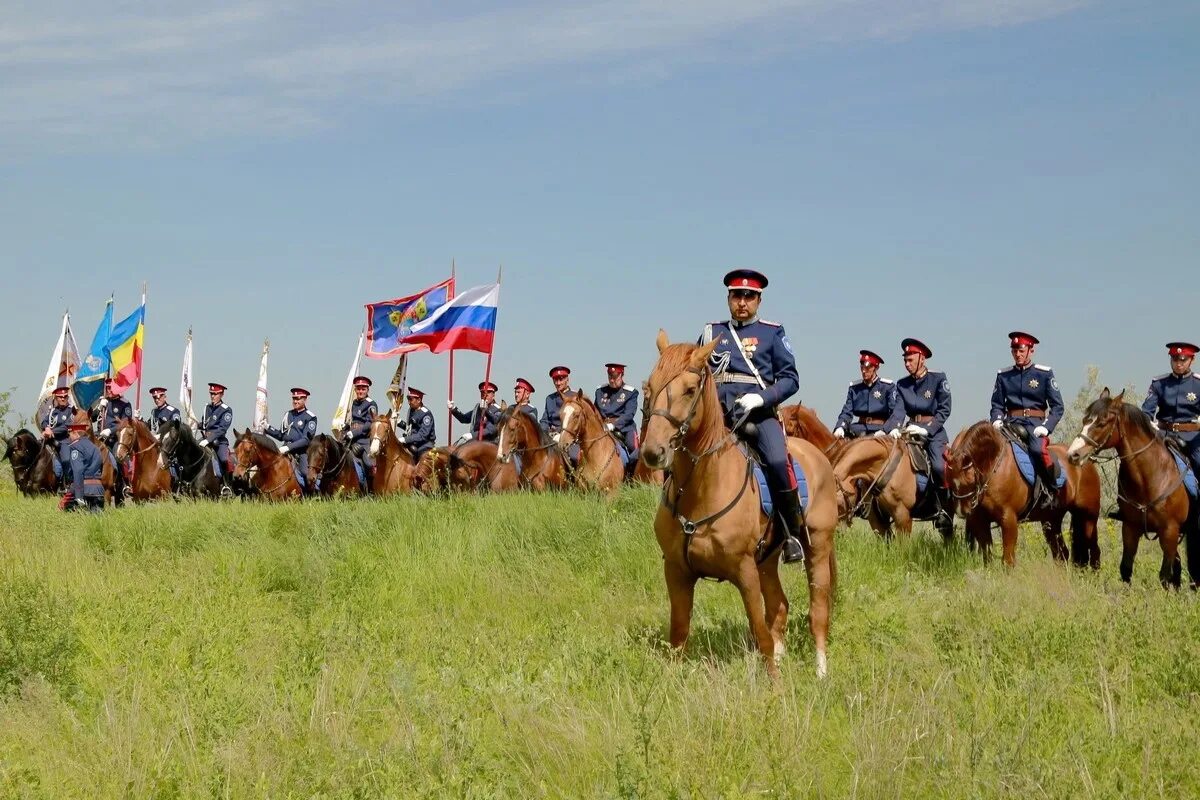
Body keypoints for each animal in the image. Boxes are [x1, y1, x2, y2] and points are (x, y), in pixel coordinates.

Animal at [643, 335, 840, 681]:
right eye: (649, 386)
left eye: (690, 389)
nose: (653, 452)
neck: (700, 490)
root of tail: (819, 457)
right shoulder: (677, 571)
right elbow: (678, 634)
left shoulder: (745, 571)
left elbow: (760, 633)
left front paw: (775, 687)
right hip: (768, 560)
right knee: (780, 607)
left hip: (817, 547)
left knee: (818, 610)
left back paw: (820, 671)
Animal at [945, 422, 1104, 566]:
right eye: (949, 480)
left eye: (969, 480)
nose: (961, 511)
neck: (995, 465)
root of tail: (1085, 460)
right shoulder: (980, 521)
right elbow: (987, 559)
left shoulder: (1008, 519)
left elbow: (1008, 561)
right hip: (1051, 520)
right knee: (1061, 554)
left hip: (1088, 516)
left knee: (1094, 550)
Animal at [1065, 388, 1195, 587]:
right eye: (1085, 421)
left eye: (1102, 423)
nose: (1073, 454)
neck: (1150, 479)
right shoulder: (1130, 528)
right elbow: (1126, 569)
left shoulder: (1169, 531)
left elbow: (1164, 575)